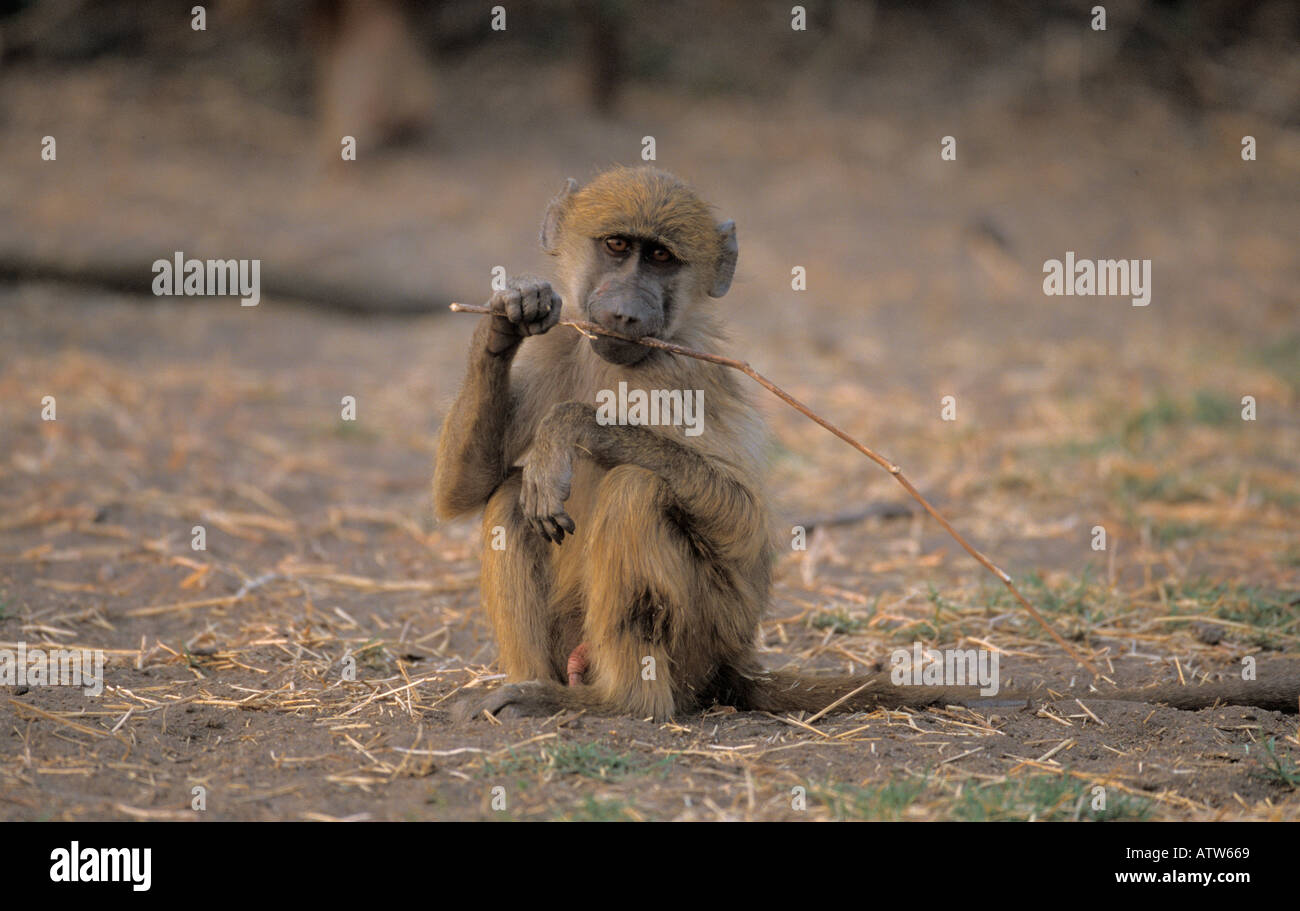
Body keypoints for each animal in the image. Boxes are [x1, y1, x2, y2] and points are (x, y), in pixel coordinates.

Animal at [434, 166, 1299, 721]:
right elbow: (464, 490)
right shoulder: (566, 346)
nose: (625, 311)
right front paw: (508, 314)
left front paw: (571, 430)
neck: (625, 356)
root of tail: (734, 662)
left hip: (708, 636)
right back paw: (548, 683)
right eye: (617, 247)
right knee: (510, 499)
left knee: (637, 491)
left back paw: (618, 703)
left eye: (662, 258)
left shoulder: (691, 371)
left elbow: (742, 522)